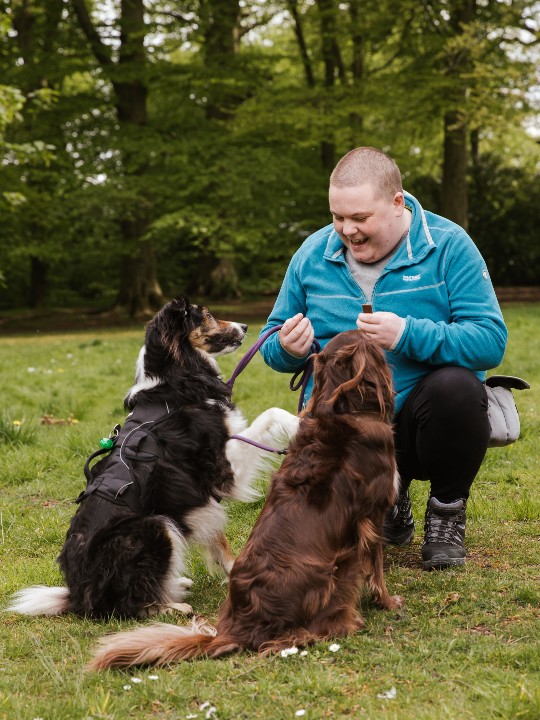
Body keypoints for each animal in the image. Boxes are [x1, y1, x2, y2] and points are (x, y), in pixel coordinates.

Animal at [6, 298, 298, 620]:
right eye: (207, 314)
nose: (245, 326)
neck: (176, 377)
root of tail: (78, 596)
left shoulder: (199, 497)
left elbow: (219, 542)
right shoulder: (222, 470)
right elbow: (271, 413)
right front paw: (300, 422)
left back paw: (173, 583)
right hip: (153, 525)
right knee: (128, 605)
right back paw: (171, 606)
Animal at [89, 330, 400, 668]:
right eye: (368, 336)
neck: (343, 410)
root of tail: (236, 628)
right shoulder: (373, 516)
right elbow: (377, 567)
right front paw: (388, 602)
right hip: (335, 571)